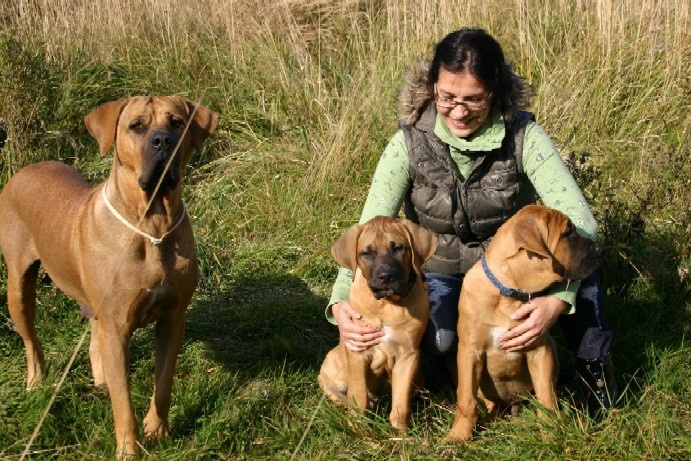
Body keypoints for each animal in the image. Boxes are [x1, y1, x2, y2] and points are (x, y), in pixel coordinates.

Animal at [0, 96, 219, 456]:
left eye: (176, 123)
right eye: (137, 126)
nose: (163, 141)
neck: (152, 225)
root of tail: (27, 169)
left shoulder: (173, 319)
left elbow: (163, 382)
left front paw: (157, 430)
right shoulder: (118, 328)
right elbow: (124, 404)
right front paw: (128, 451)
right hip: (18, 286)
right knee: (31, 341)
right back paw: (36, 383)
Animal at [318, 217, 438, 432]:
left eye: (398, 248)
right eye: (366, 253)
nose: (386, 277)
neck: (387, 305)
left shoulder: (407, 356)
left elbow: (400, 403)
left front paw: (400, 434)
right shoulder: (358, 352)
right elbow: (358, 397)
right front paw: (359, 430)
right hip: (333, 365)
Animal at [448, 205, 604, 442]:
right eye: (567, 233)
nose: (600, 248)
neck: (508, 294)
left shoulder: (540, 351)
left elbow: (546, 397)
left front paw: (551, 431)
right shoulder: (470, 352)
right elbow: (466, 398)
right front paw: (458, 435)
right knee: (489, 403)